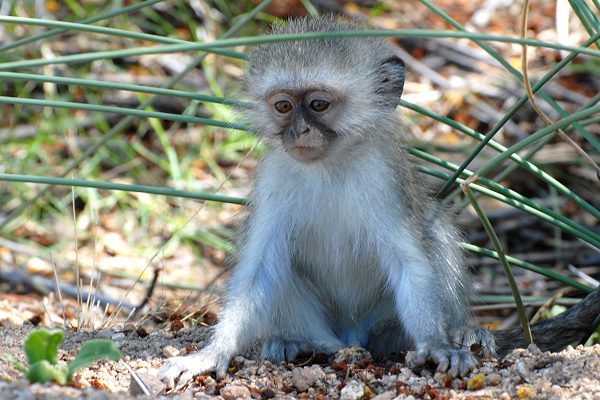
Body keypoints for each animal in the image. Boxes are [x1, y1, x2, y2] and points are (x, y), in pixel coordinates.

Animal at [159, 16, 600, 388]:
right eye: (283, 106)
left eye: (318, 105)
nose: (299, 131)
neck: (330, 167)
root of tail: (352, 334)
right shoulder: (275, 175)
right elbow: (259, 268)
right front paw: (212, 352)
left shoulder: (384, 178)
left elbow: (409, 260)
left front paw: (436, 344)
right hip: (328, 326)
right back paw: (299, 342)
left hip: (383, 323)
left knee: (434, 229)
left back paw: (459, 331)